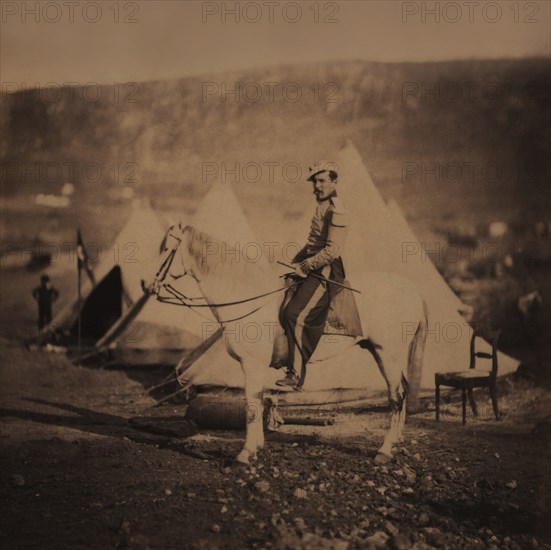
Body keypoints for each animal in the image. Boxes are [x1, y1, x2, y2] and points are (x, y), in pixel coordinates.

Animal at [153, 227, 430, 466]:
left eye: (167, 249)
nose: (151, 286)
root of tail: (414, 291)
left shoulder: (252, 365)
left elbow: (251, 406)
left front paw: (245, 454)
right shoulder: (255, 368)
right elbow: (258, 402)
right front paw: (256, 447)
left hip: (387, 354)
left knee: (396, 396)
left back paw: (385, 450)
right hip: (379, 351)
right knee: (402, 390)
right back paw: (396, 441)